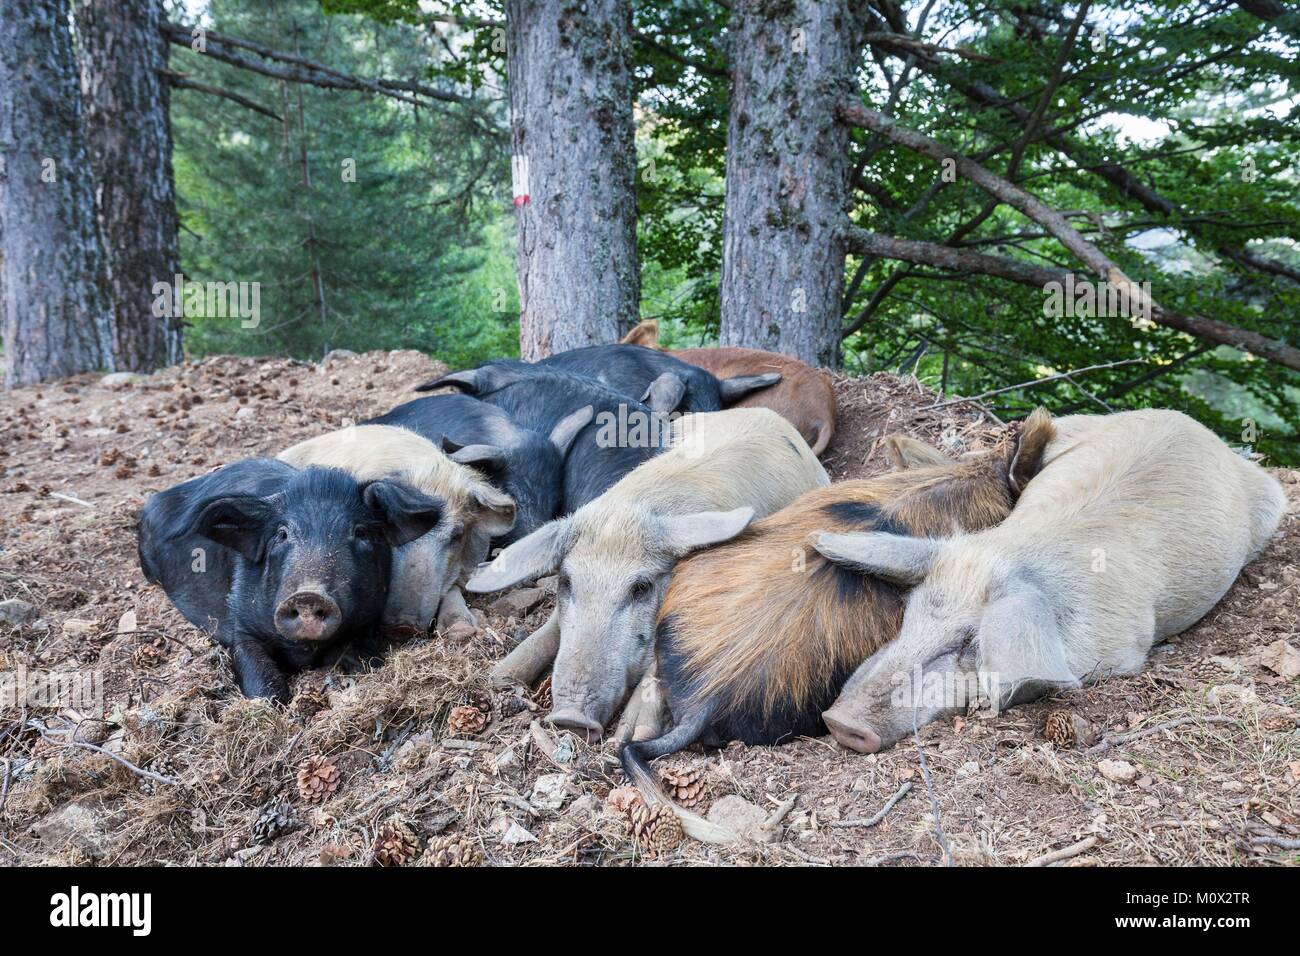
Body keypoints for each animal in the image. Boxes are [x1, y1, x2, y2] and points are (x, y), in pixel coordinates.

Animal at [136, 463, 441, 702]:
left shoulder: (368, 621)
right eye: (282, 534)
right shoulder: (241, 624)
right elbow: (259, 677)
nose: (308, 594)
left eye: (360, 532)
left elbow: (364, 659)